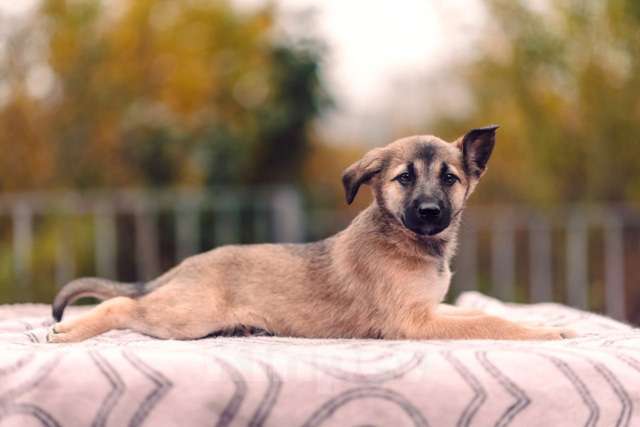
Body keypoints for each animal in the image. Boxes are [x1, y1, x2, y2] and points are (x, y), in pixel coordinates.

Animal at [46, 127, 576, 344]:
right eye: (404, 178)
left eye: (450, 178)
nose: (429, 213)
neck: (406, 240)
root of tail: (184, 267)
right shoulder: (413, 322)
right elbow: (491, 322)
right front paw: (547, 331)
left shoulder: (429, 310)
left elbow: (484, 313)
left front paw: (547, 324)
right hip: (185, 314)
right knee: (122, 306)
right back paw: (67, 331)